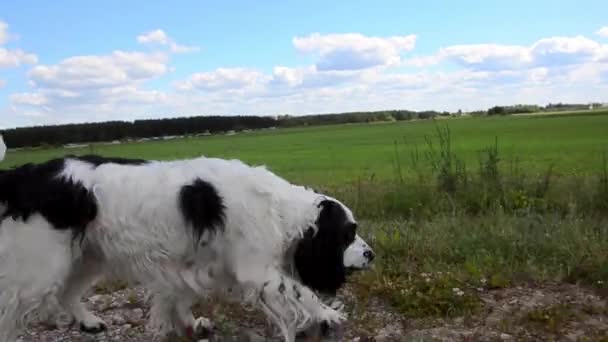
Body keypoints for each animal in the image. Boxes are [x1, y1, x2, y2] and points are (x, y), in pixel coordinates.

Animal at [0, 145, 376, 342]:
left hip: (85, 256)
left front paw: (190, 324)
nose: (371, 254)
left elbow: (178, 297)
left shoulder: (193, 263)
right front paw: (328, 313)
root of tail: (22, 175)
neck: (279, 210)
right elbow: (303, 293)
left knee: (67, 292)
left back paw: (89, 321)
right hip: (42, 267)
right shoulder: (256, 271)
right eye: (348, 234)